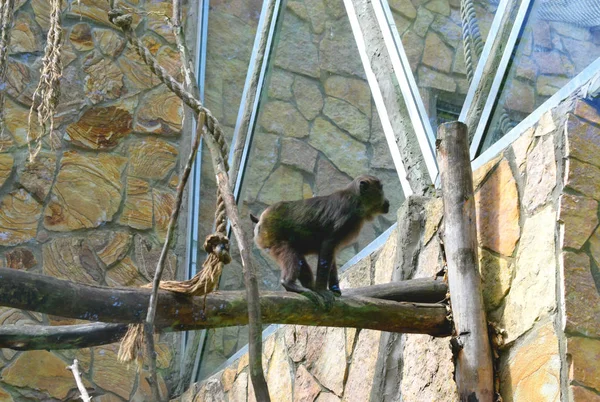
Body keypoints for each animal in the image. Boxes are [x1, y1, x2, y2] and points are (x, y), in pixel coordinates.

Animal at [252, 174, 390, 296]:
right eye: (381, 188)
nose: (387, 201)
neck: (357, 201)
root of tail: (261, 220)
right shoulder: (345, 218)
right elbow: (327, 249)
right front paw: (322, 290)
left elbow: (330, 255)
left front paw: (335, 289)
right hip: (271, 235)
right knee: (289, 253)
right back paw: (289, 283)